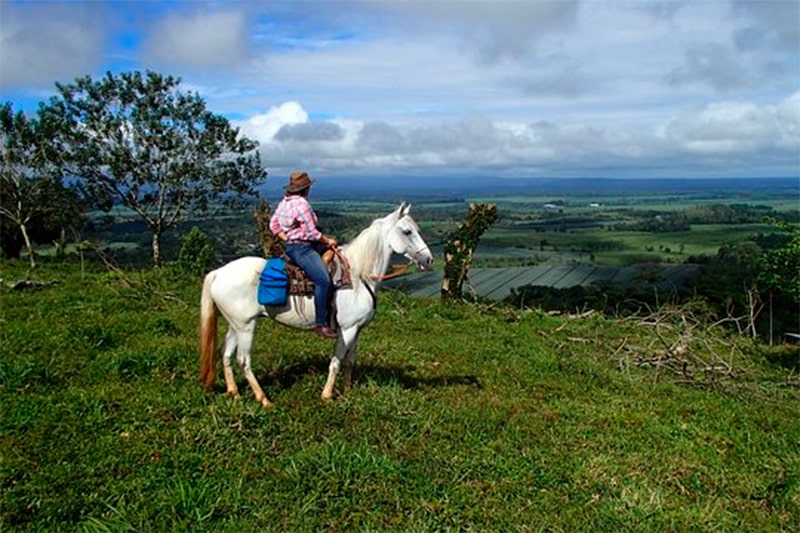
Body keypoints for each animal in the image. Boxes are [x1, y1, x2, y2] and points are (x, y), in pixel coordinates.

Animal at [199, 202, 432, 406]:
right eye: (407, 231)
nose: (428, 259)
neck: (358, 276)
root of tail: (219, 272)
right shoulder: (346, 329)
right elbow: (336, 362)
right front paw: (327, 395)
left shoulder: (358, 330)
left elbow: (350, 361)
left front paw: (347, 391)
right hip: (246, 326)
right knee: (243, 360)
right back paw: (263, 399)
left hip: (236, 324)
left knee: (226, 353)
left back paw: (234, 392)